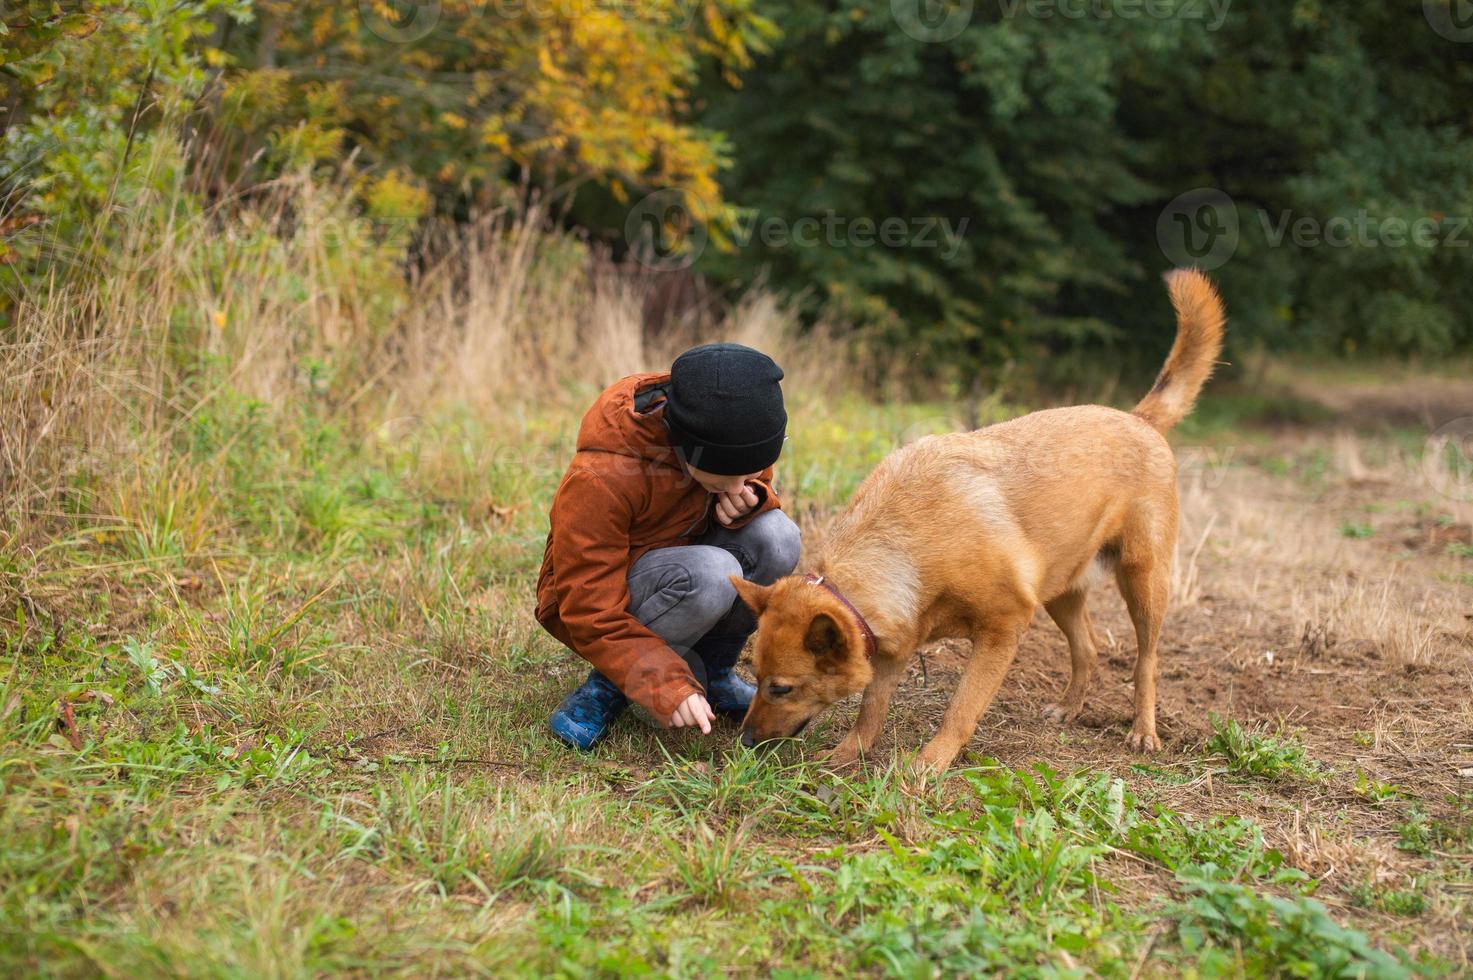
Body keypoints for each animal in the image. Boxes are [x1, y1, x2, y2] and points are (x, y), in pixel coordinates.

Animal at [730, 268, 1225, 772]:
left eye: (781, 688)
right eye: (754, 673)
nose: (745, 740)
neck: (907, 546)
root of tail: (1139, 419)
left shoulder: (1003, 630)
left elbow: (961, 709)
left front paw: (927, 766)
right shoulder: (892, 647)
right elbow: (871, 710)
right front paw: (848, 754)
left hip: (1143, 583)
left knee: (1146, 663)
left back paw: (1144, 730)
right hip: (1061, 592)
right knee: (1087, 648)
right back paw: (1070, 707)